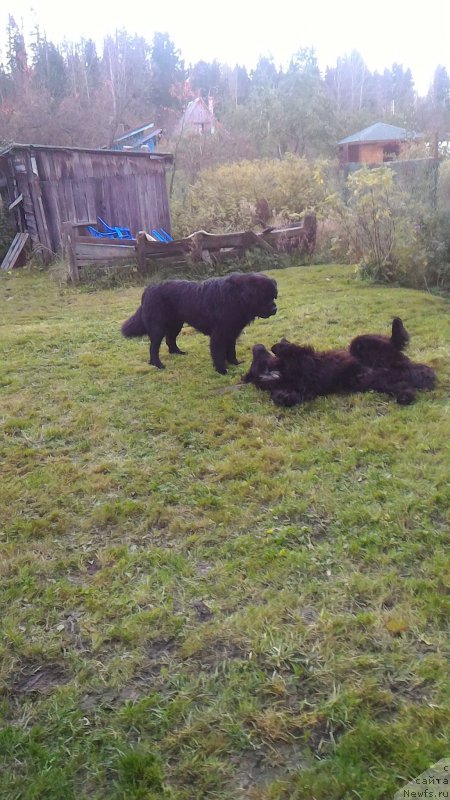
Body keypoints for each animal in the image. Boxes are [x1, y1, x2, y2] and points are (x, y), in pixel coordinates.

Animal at [122, 272, 278, 376]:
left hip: (175, 324)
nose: (275, 309)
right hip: (158, 327)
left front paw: (235, 362)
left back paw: (177, 352)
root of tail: (148, 289)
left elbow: (231, 350)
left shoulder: (231, 331)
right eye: (265, 297)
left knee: (170, 339)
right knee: (154, 347)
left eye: (273, 296)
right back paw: (158, 364)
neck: (237, 297)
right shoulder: (219, 334)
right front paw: (221, 369)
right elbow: (218, 353)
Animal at [243, 318, 436, 406]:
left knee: (393, 341)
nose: (256, 346)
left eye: (256, 358)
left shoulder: (305, 358)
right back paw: (405, 395)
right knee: (406, 390)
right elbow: (286, 396)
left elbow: (287, 349)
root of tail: (402, 367)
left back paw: (397, 324)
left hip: (359, 345)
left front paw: (280, 343)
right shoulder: (302, 383)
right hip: (383, 383)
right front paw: (284, 396)